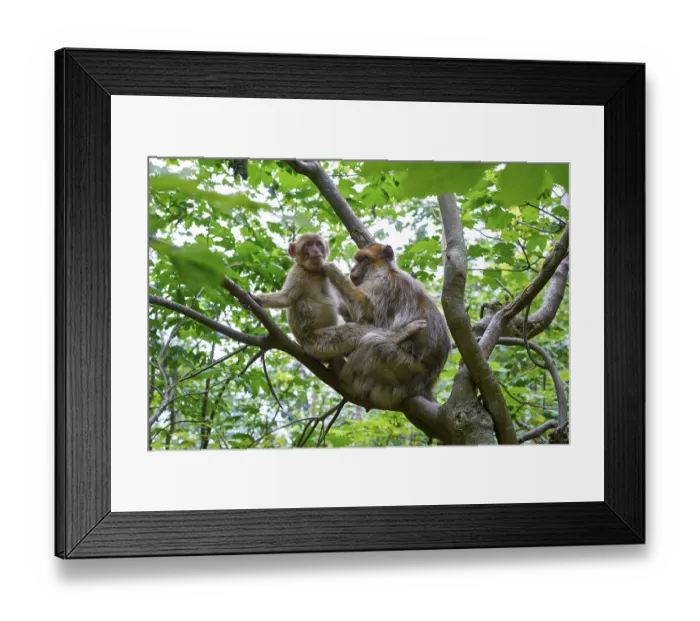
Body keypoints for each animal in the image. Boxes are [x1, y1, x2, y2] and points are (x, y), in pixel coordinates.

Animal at [252, 233, 426, 363]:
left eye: (318, 244)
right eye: (307, 245)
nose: (316, 251)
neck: (313, 272)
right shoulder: (297, 273)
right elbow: (286, 298)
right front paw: (255, 300)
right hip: (317, 343)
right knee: (348, 332)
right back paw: (400, 334)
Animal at [321, 243, 452, 409]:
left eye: (363, 259)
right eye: (357, 260)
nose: (352, 269)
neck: (385, 270)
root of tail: (426, 386)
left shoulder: (382, 285)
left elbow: (369, 318)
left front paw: (334, 273)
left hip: (406, 368)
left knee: (374, 344)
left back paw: (345, 378)